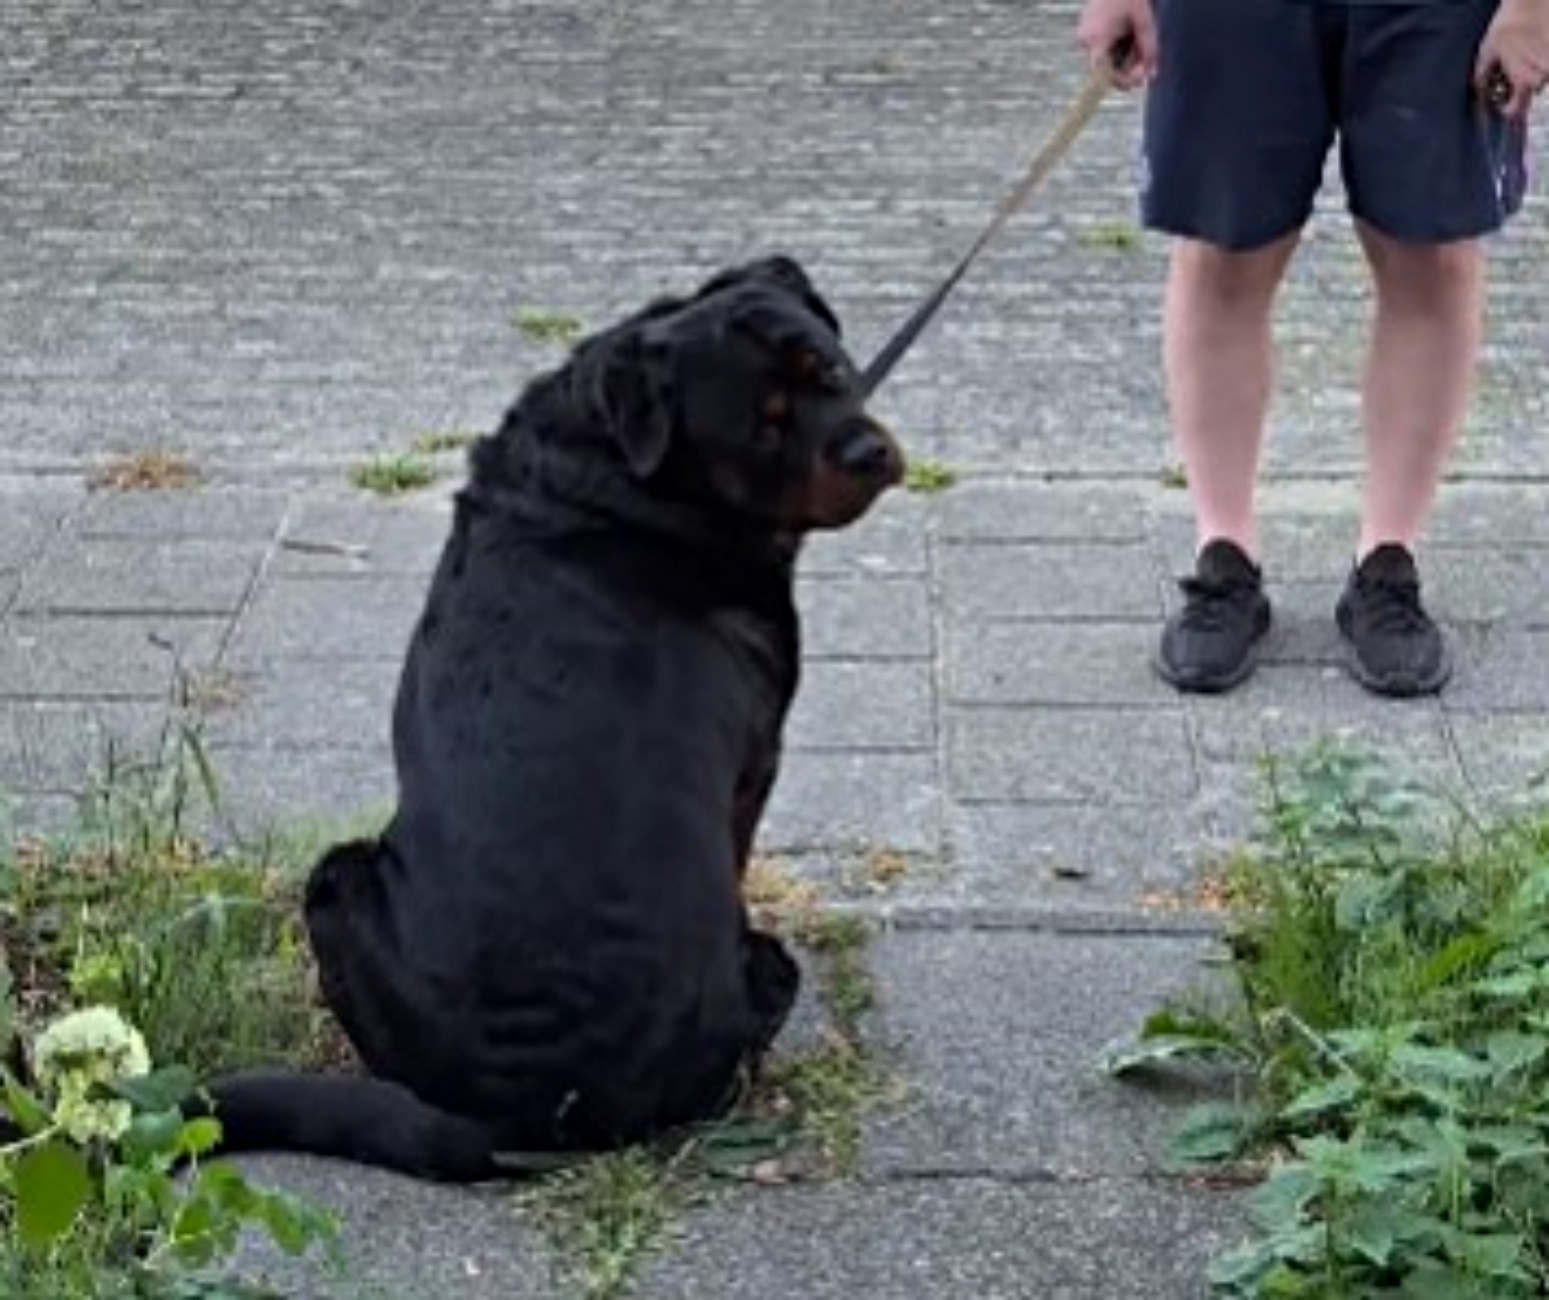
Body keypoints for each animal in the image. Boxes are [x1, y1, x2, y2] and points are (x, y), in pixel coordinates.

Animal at [209, 254, 904, 1177]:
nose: (867, 451)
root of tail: (533, 1116)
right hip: (340, 877)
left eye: (830, 369)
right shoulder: (756, 761)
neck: (617, 473)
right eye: (764, 430)